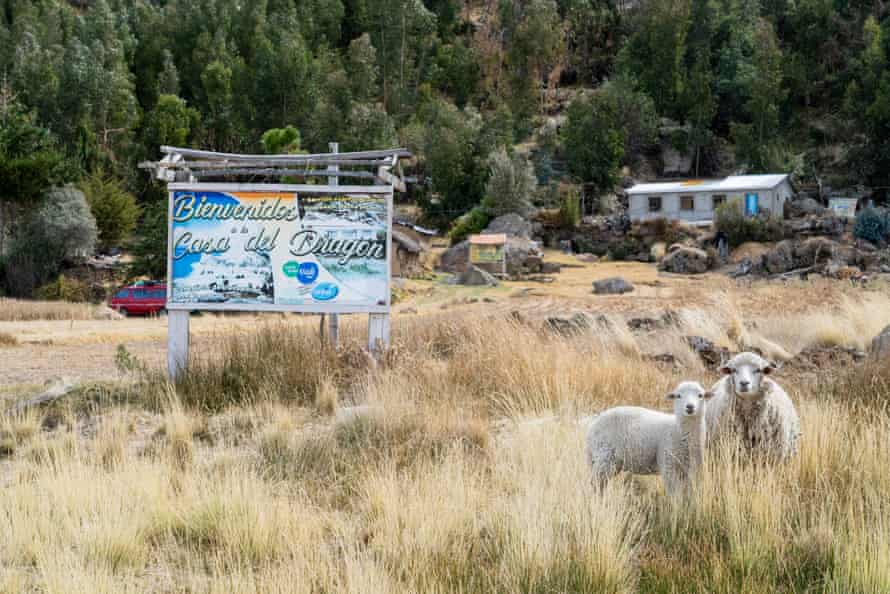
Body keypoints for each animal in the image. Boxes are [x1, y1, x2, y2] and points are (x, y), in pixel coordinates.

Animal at [584, 380, 716, 494]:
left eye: (700, 395)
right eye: (678, 396)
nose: (690, 407)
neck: (678, 430)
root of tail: (593, 425)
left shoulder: (689, 470)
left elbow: (687, 494)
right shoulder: (668, 466)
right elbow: (676, 496)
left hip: (611, 463)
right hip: (604, 458)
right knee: (595, 485)